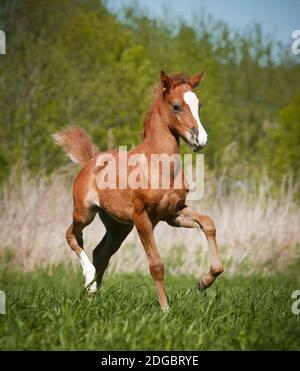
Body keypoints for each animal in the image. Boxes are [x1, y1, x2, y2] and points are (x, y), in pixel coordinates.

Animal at [53, 70, 223, 310]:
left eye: (199, 104)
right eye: (176, 106)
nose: (200, 140)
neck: (159, 168)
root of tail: (89, 160)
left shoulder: (173, 213)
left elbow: (208, 224)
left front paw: (204, 281)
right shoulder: (142, 217)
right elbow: (156, 265)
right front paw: (165, 309)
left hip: (118, 227)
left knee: (100, 254)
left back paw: (92, 296)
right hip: (85, 212)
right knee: (72, 236)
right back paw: (89, 280)